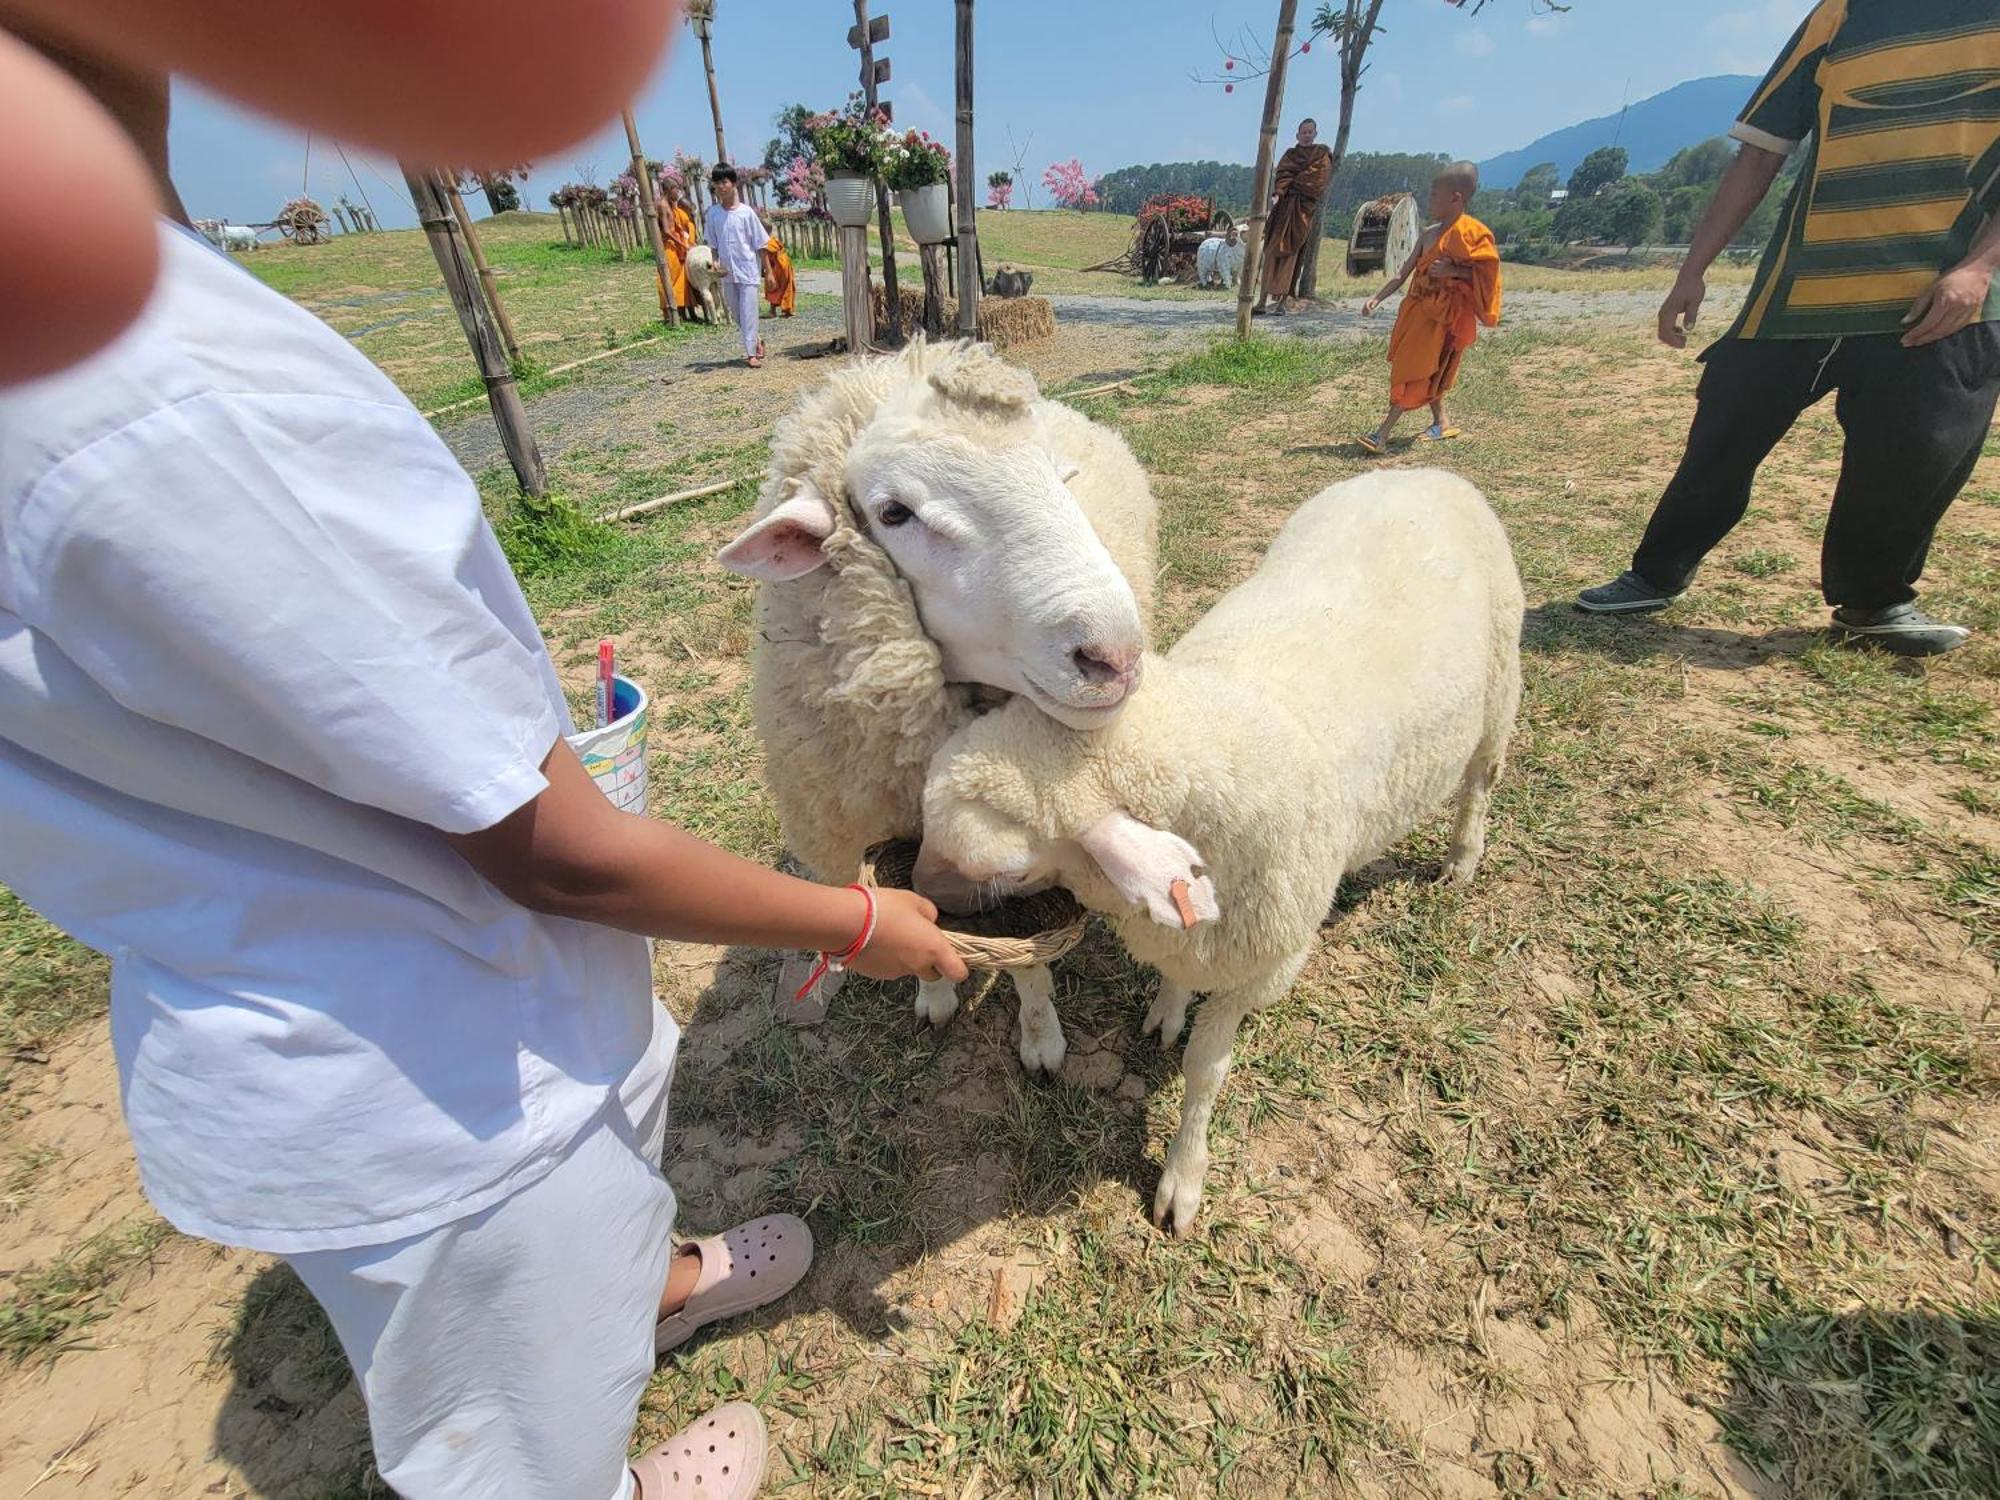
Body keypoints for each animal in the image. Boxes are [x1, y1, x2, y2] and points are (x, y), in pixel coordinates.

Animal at [716, 340, 1160, 1072]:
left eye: (1054, 476)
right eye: (894, 512)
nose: (1115, 656)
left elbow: (1028, 961)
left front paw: (1041, 1039)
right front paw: (934, 995)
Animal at [916, 470, 1520, 1232]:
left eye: (1007, 868)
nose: (914, 891)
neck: (1226, 718)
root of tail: (1422, 473)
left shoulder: (1259, 964)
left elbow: (1207, 1071)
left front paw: (1183, 1177)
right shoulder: (1195, 930)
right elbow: (1179, 976)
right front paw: (1168, 1016)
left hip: (1499, 694)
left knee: (1481, 782)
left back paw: (1462, 859)